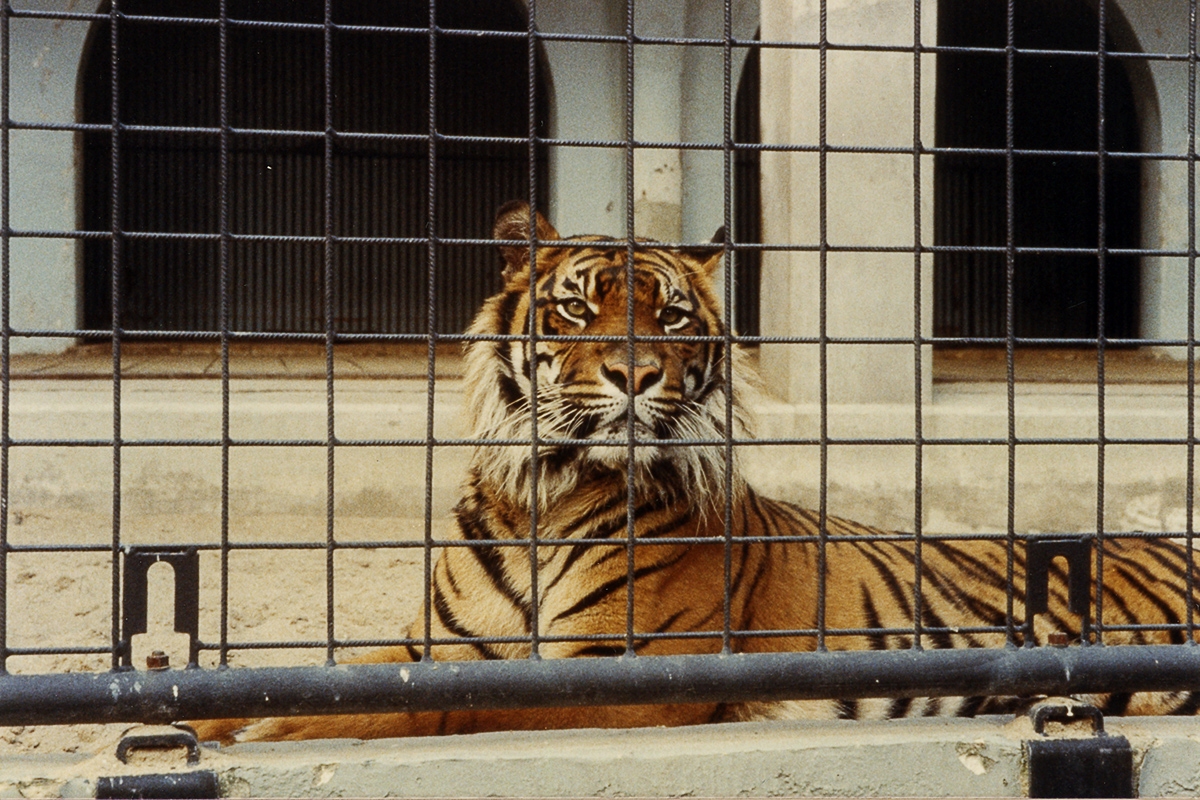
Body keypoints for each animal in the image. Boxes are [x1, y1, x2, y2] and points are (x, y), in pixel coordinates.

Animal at [192, 201, 1200, 743]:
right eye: (577, 307)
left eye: (672, 317)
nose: (636, 374)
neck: (546, 495)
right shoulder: (435, 650)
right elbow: (317, 676)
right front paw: (207, 723)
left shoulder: (619, 676)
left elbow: (453, 713)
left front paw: (277, 728)